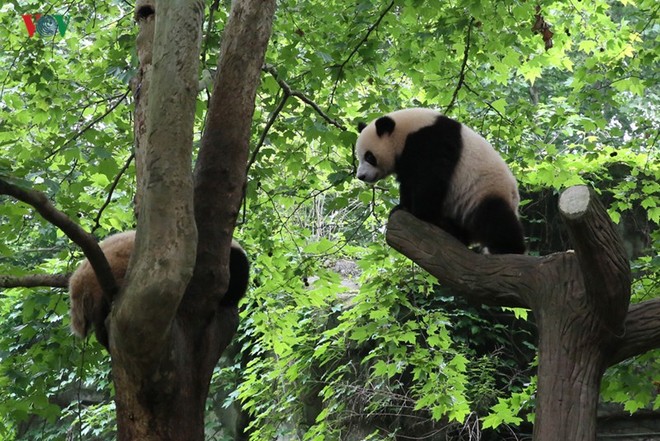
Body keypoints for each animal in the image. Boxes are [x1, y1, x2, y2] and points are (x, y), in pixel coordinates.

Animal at [356, 105, 524, 254]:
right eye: (359, 157)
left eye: (369, 157)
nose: (361, 176)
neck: (406, 132)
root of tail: (514, 199)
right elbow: (408, 182)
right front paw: (402, 207)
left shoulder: (432, 142)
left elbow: (430, 180)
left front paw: (419, 213)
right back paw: (452, 230)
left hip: (485, 191)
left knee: (496, 218)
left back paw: (506, 248)